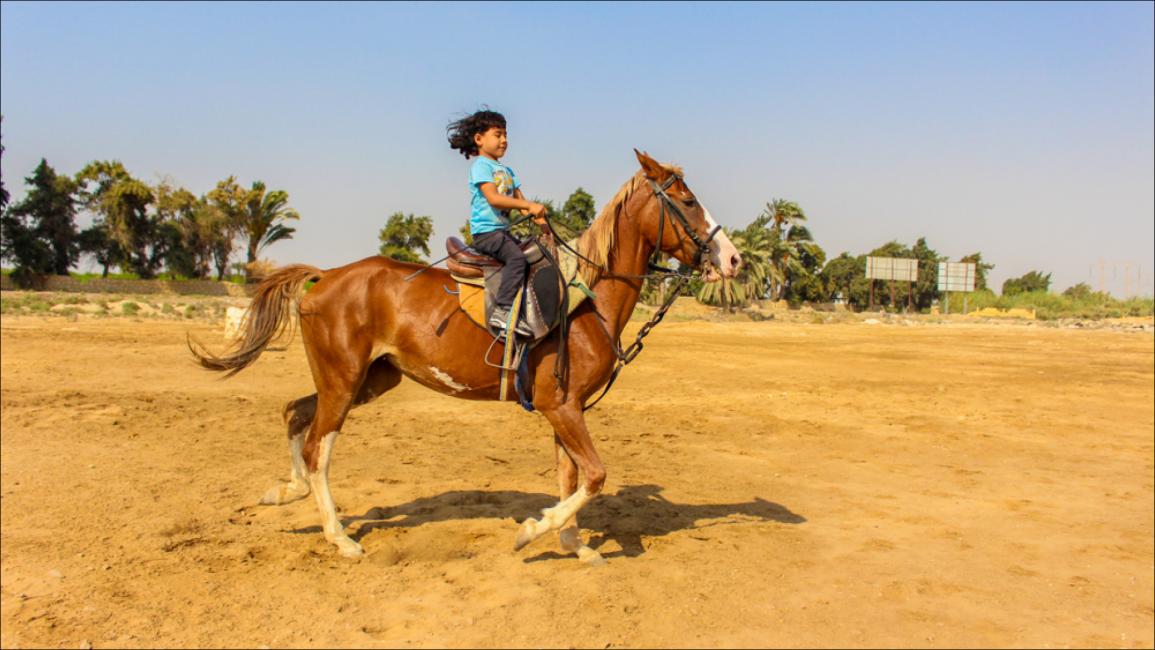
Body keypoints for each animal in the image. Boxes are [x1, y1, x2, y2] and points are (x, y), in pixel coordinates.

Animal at [191, 148, 739, 565]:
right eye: (687, 200)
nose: (732, 259)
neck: (588, 299)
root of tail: (325, 275)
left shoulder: (567, 408)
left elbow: (571, 477)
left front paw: (572, 543)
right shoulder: (561, 407)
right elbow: (594, 476)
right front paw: (532, 531)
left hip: (366, 379)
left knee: (295, 414)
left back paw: (287, 491)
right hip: (343, 379)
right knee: (317, 448)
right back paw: (340, 538)